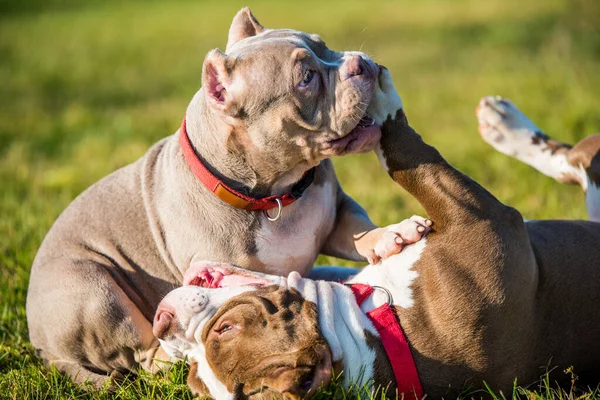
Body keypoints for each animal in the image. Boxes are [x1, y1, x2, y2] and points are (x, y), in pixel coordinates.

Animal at [25, 8, 424, 384]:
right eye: (306, 78)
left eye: (325, 46)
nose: (361, 63)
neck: (274, 195)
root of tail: (44, 347)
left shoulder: (336, 212)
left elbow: (358, 228)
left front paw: (392, 234)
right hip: (92, 289)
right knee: (144, 354)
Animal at [152, 70, 600, 398]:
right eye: (195, 371)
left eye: (225, 329)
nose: (162, 322)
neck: (375, 329)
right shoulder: (486, 220)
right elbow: (408, 159)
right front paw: (382, 98)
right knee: (579, 162)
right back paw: (505, 124)